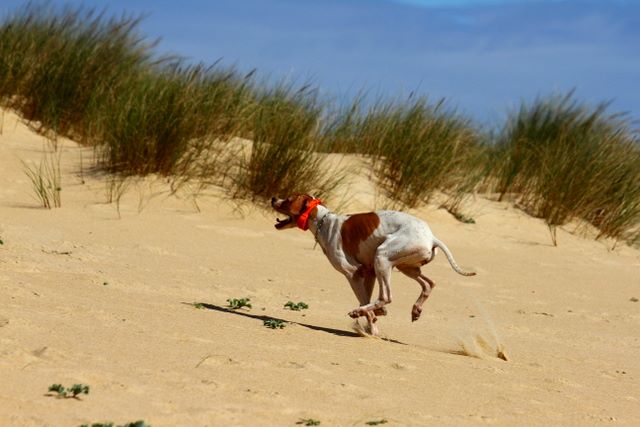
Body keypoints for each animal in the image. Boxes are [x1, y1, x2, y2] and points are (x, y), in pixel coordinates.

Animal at [270, 194, 476, 338]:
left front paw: (371, 320)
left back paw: (359, 311)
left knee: (386, 296)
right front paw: (374, 322)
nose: (273, 198)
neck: (324, 221)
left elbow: (364, 301)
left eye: (288, 199)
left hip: (383, 257)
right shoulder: (369, 272)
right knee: (428, 283)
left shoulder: (352, 273)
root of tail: (431, 237)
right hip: (404, 266)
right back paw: (415, 309)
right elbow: (367, 300)